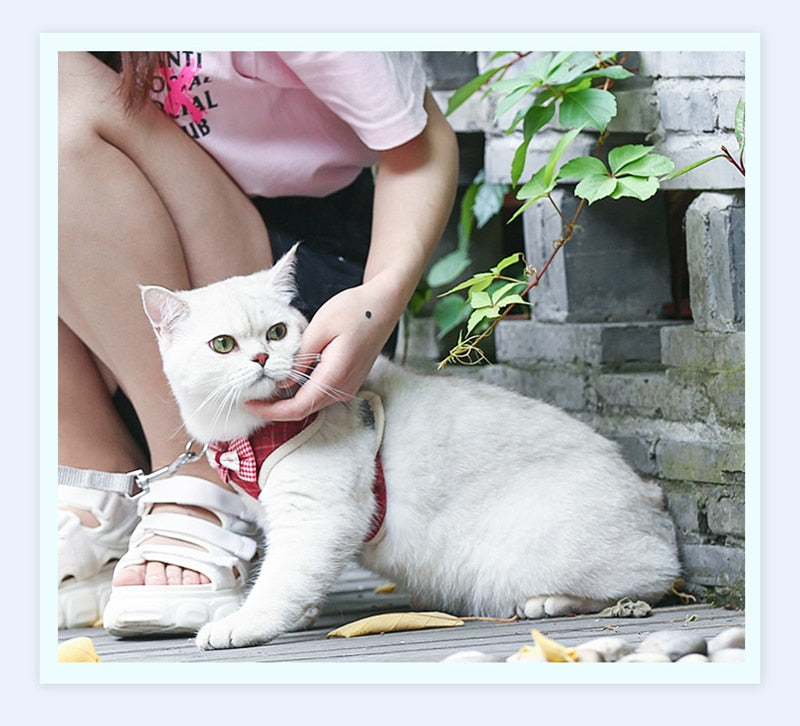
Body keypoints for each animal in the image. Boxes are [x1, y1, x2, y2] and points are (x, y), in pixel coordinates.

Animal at [141, 249, 680, 656]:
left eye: (277, 332)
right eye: (222, 345)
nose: (260, 358)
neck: (246, 437)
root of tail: (650, 495)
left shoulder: (318, 516)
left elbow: (282, 580)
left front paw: (244, 624)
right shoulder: (278, 515)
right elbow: (293, 577)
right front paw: (304, 612)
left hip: (534, 551)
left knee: (654, 579)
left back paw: (551, 601)